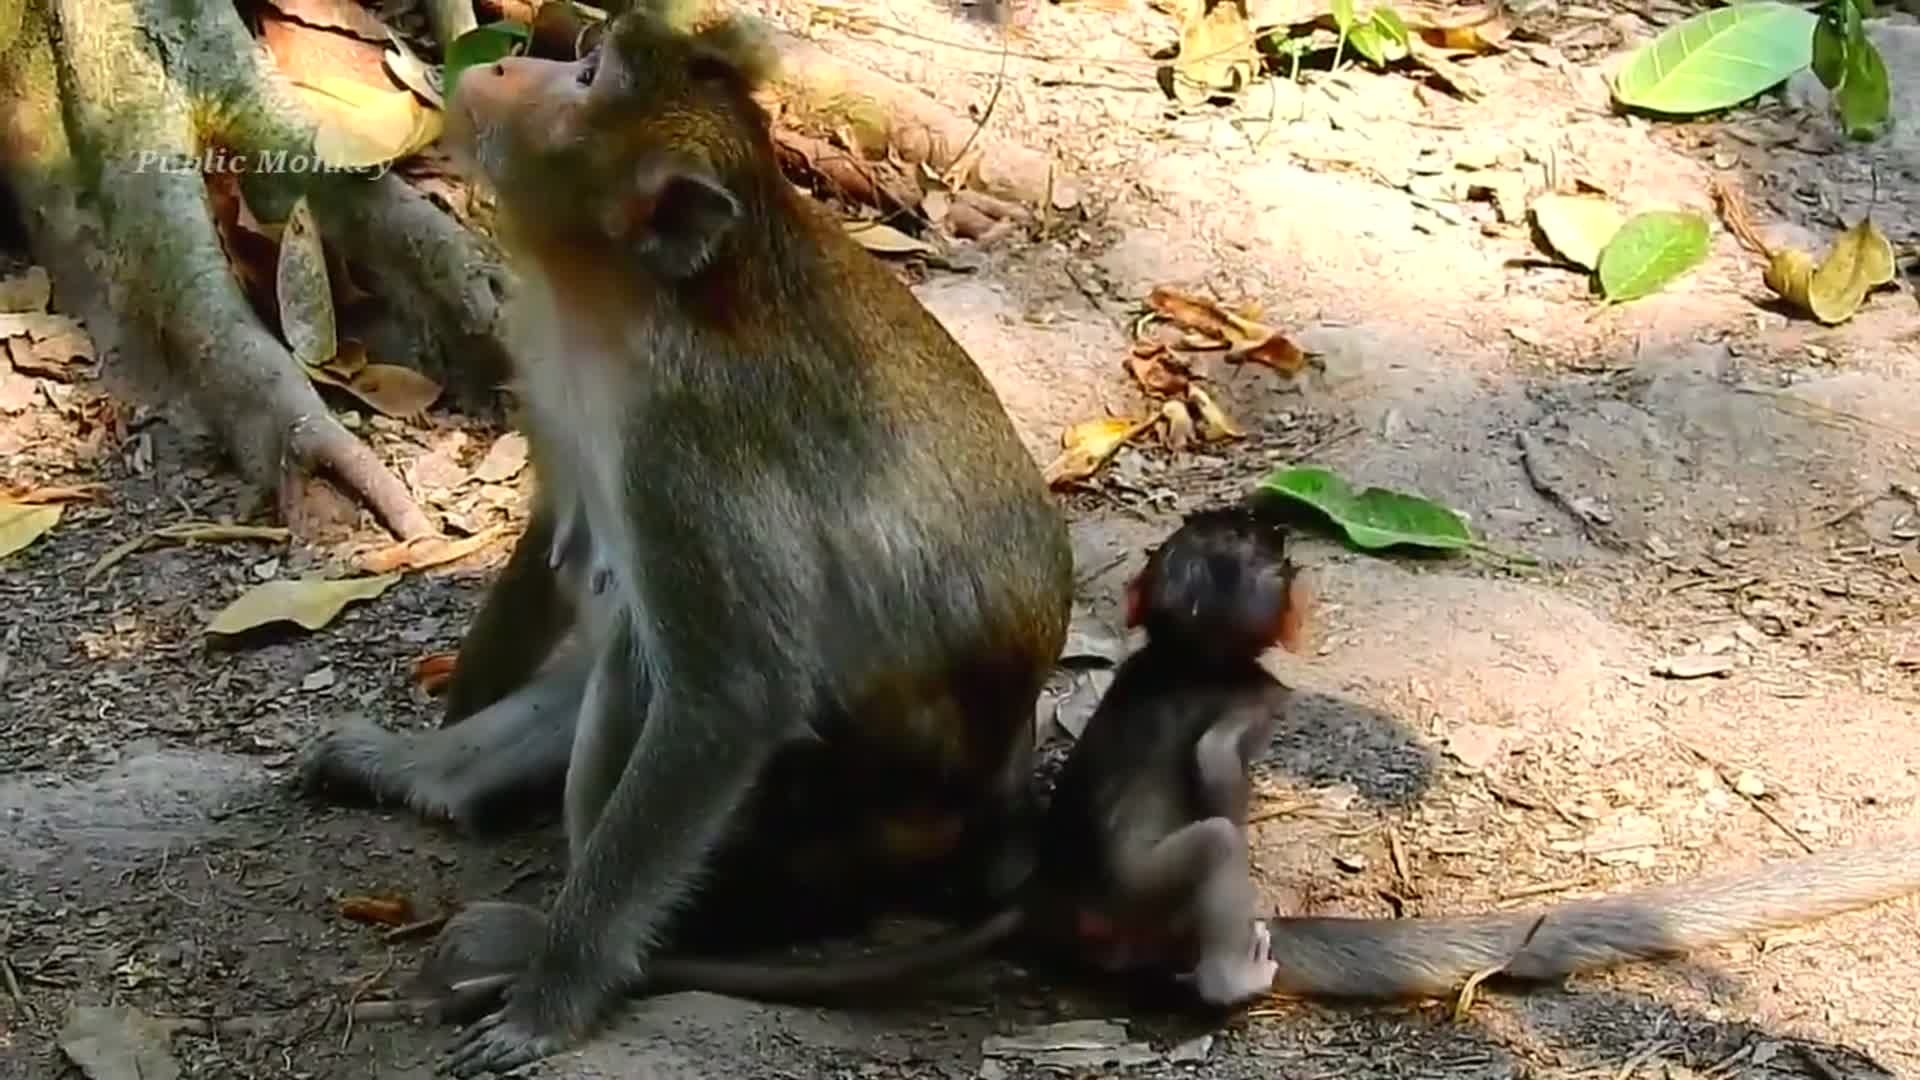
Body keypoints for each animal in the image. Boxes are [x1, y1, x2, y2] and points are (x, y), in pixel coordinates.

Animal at [307, 4, 1075, 1068]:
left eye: (587, 79)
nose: (508, 61)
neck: (628, 297)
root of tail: (1003, 799)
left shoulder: (687, 446)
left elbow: (731, 695)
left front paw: (556, 995)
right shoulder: (543, 352)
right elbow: (560, 541)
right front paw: (440, 735)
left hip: (824, 828)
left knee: (651, 654)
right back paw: (436, 780)